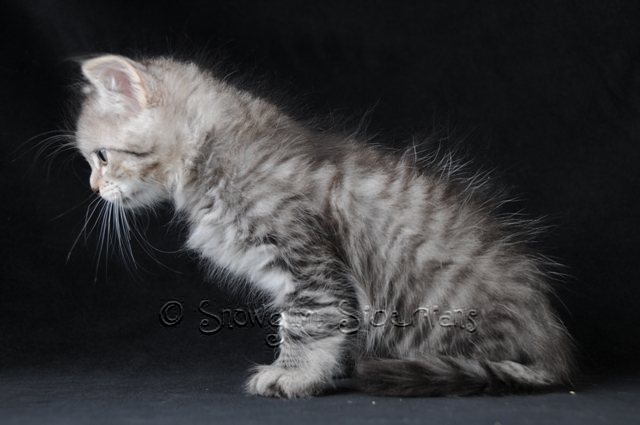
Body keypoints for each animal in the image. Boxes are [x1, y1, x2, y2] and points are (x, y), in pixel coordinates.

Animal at [74, 53, 576, 398]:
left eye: (101, 157)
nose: (93, 188)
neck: (217, 153)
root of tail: (550, 337)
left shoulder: (308, 263)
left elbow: (308, 323)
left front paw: (293, 374)